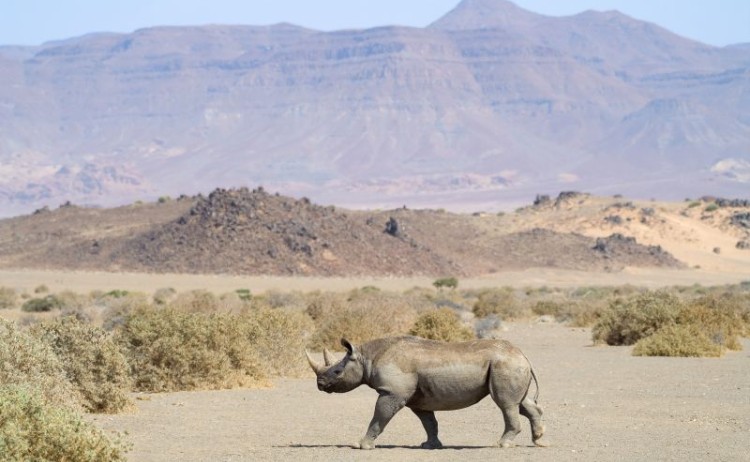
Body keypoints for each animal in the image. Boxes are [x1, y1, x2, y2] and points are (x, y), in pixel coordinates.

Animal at [305, 336, 545, 450]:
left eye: (337, 372)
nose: (320, 384)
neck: (366, 358)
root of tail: (523, 355)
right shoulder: (418, 399)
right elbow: (429, 422)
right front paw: (430, 445)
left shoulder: (392, 392)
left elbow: (379, 417)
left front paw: (361, 445)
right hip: (509, 364)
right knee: (521, 403)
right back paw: (540, 441)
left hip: (505, 364)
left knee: (506, 404)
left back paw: (502, 444)